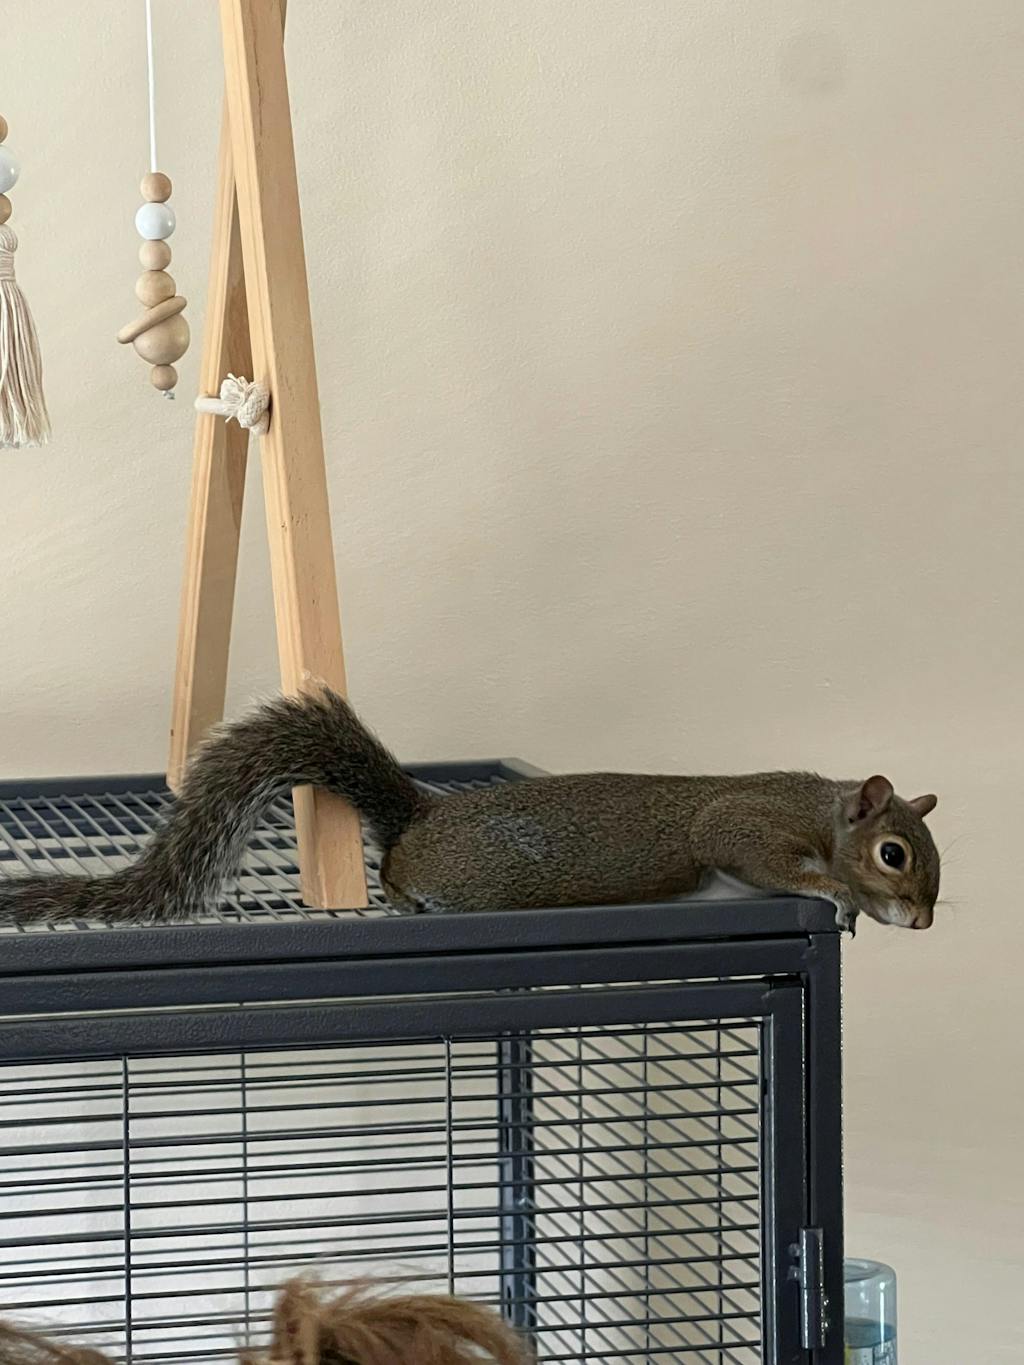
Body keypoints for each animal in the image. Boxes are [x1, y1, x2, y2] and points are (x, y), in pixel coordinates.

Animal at [0, 688, 940, 932]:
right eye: (893, 852)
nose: (924, 921)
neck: (819, 808)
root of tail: (419, 818)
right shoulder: (743, 823)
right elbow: (765, 859)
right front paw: (837, 894)